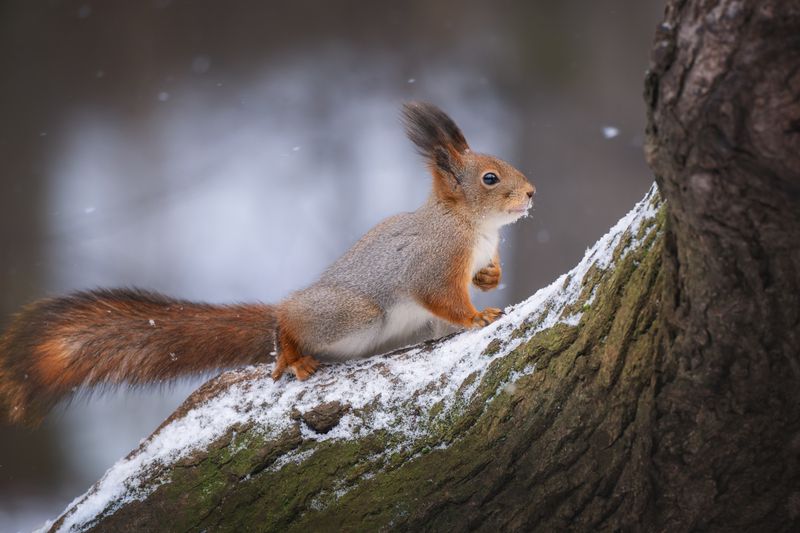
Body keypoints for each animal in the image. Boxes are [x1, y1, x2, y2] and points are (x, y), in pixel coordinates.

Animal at [0, 102, 535, 426]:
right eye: (490, 178)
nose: (531, 193)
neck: (472, 227)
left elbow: (481, 279)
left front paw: (491, 278)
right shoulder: (432, 262)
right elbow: (444, 299)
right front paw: (476, 317)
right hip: (351, 313)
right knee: (290, 324)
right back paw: (291, 354)